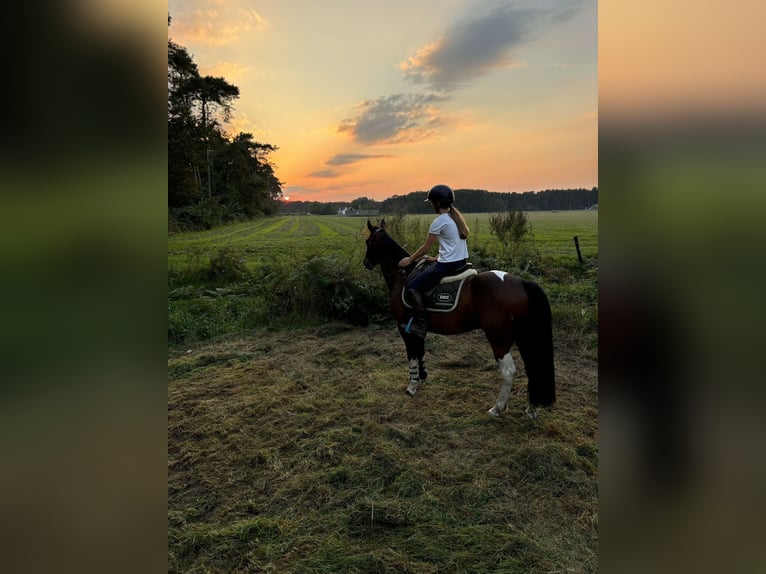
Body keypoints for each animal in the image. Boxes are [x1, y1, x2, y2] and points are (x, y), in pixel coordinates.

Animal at [364, 219, 556, 418]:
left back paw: (497, 408)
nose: (366, 263)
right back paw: (532, 409)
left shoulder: (404, 328)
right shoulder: (418, 329)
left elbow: (412, 355)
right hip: (525, 335)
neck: (403, 274)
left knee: (509, 371)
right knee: (533, 367)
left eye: (368, 242)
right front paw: (422, 378)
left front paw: (412, 386)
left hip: (499, 338)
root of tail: (521, 282)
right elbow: (421, 352)